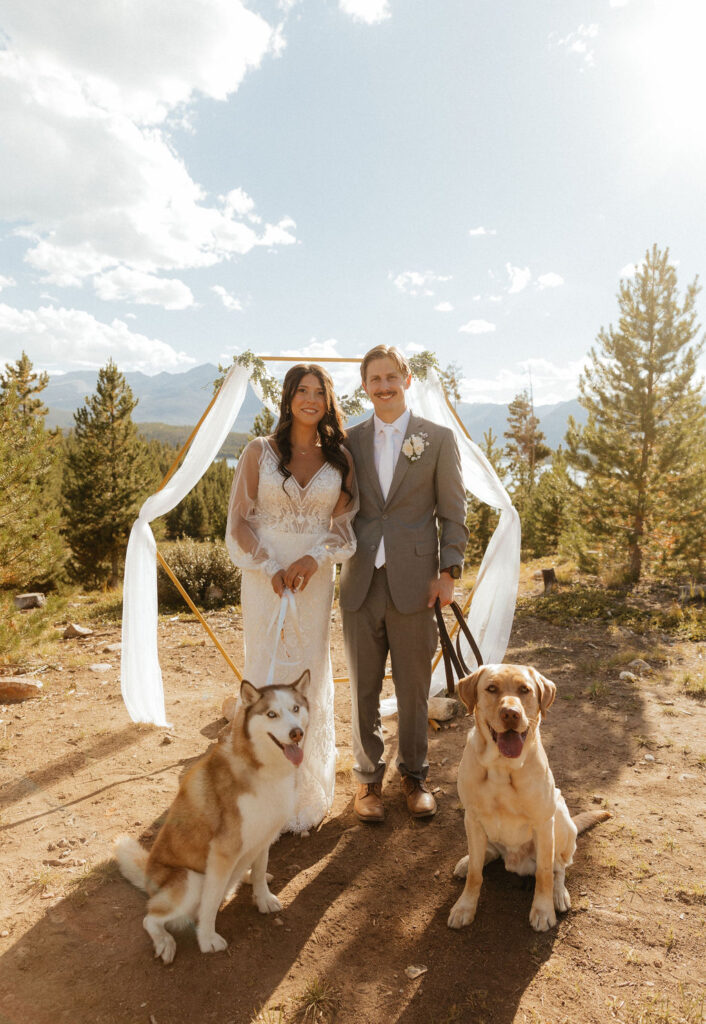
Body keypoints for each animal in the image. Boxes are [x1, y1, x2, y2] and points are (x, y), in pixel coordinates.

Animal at [114, 671, 307, 958]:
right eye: (271, 714)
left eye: (295, 709)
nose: (296, 733)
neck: (263, 769)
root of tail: (149, 879)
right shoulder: (222, 852)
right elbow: (210, 902)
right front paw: (207, 939)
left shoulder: (264, 835)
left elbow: (260, 870)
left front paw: (263, 898)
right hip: (191, 880)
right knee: (150, 918)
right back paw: (164, 942)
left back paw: (246, 876)